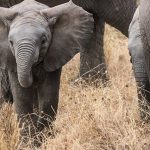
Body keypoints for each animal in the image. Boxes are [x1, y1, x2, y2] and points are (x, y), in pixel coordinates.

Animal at [0, 0, 94, 134]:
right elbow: (22, 97)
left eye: (43, 41)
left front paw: (44, 136)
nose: (32, 76)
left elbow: (48, 95)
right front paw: (30, 139)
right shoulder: (11, 60)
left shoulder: (56, 53)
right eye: (11, 42)